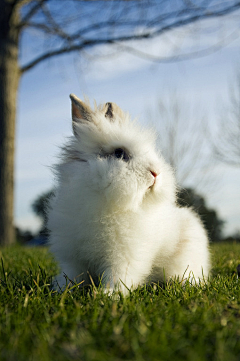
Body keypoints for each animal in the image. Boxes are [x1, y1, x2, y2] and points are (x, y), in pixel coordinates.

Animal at [48, 93, 210, 292]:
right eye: (119, 153)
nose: (155, 173)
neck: (103, 200)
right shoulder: (73, 257)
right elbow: (72, 275)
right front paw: (62, 289)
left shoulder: (124, 255)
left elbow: (118, 276)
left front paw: (108, 294)